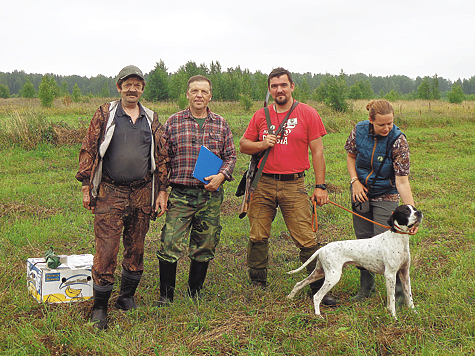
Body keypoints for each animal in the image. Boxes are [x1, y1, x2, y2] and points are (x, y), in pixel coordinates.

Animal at [286, 204, 424, 318]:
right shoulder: (390, 275)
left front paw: (414, 312)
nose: (419, 213)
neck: (398, 238)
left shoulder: (404, 273)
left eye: (414, 208)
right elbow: (392, 299)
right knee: (317, 296)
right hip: (333, 276)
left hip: (320, 272)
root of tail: (323, 248)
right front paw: (393, 316)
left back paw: (289, 298)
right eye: (406, 211)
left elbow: (409, 296)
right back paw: (318, 315)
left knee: (299, 284)